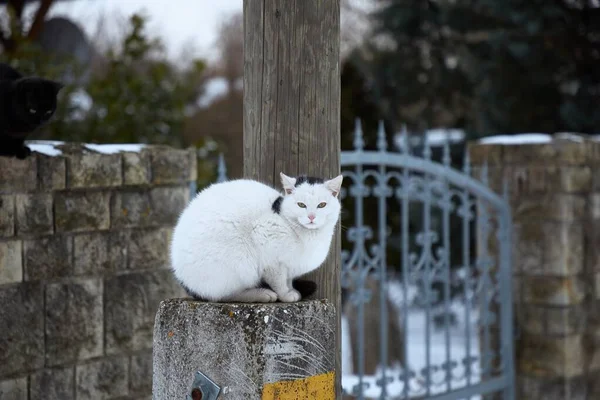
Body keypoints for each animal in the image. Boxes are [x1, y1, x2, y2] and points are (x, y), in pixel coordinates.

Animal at [171, 173, 344, 304]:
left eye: (322, 205)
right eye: (301, 205)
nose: (311, 217)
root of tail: (183, 279)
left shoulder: (288, 266)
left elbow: (287, 279)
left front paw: (291, 290)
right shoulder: (267, 245)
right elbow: (279, 280)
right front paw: (285, 295)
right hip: (239, 264)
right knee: (223, 296)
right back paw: (261, 294)